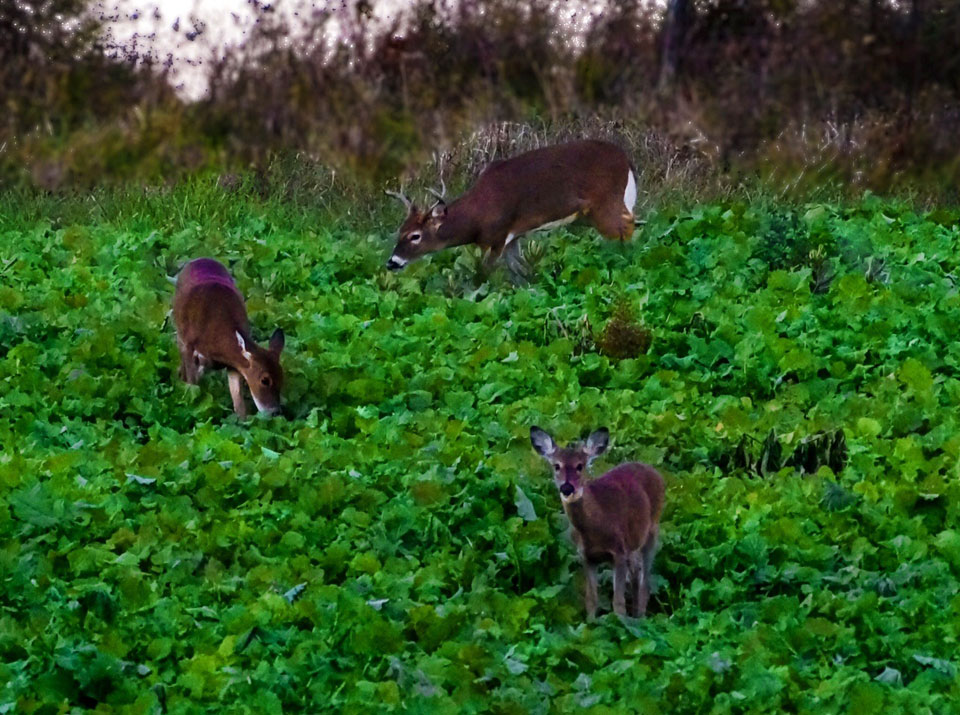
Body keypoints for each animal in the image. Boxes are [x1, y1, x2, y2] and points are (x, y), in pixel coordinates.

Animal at [173, 258, 284, 420]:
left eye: (282, 377)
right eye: (265, 380)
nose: (274, 411)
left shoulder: (234, 364)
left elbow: (238, 402)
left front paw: (243, 422)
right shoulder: (188, 344)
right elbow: (192, 384)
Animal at [382, 140, 636, 274]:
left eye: (415, 236)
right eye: (400, 231)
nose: (392, 262)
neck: (477, 217)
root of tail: (627, 160)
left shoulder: (496, 236)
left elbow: (484, 275)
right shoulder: (513, 237)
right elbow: (520, 273)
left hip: (606, 205)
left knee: (628, 231)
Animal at [528, 426, 664, 620]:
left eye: (580, 466)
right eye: (556, 466)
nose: (567, 488)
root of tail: (654, 471)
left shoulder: (619, 552)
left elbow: (618, 603)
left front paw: (620, 623)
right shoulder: (586, 556)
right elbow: (591, 600)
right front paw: (591, 623)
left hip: (652, 530)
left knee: (646, 580)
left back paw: (640, 617)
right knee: (636, 573)